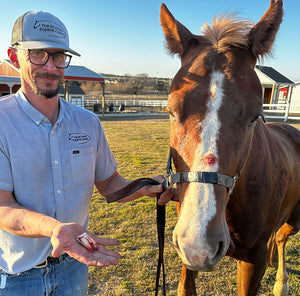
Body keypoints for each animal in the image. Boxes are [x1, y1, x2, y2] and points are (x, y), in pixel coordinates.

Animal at [161, 1, 300, 294]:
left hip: (296, 220)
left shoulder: (253, 259)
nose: (199, 243)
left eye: (254, 116)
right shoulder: (186, 258)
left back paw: (281, 283)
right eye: (171, 111)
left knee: (281, 238)